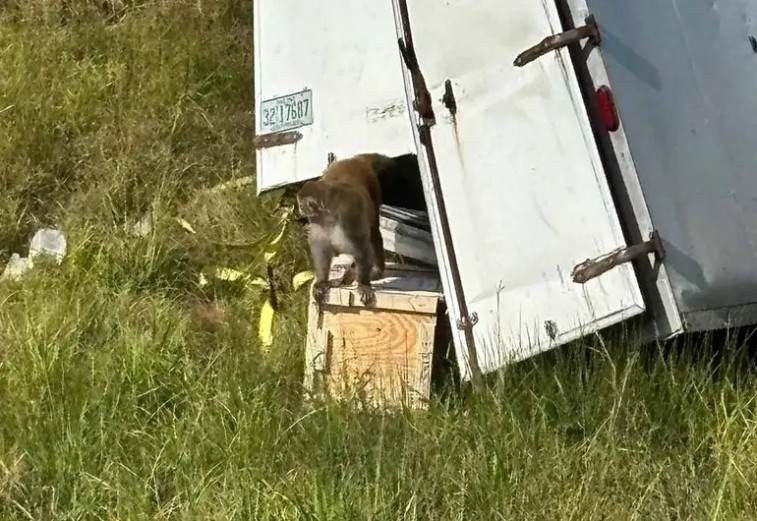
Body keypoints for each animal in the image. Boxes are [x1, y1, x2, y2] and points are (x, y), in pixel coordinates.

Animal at [296, 154, 387, 306]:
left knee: (374, 232)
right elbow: (321, 251)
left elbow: (362, 249)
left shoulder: (348, 217)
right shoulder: (317, 223)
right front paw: (321, 282)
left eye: (301, 204)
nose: (299, 209)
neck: (328, 215)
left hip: (373, 188)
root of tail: (354, 159)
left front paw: (363, 285)